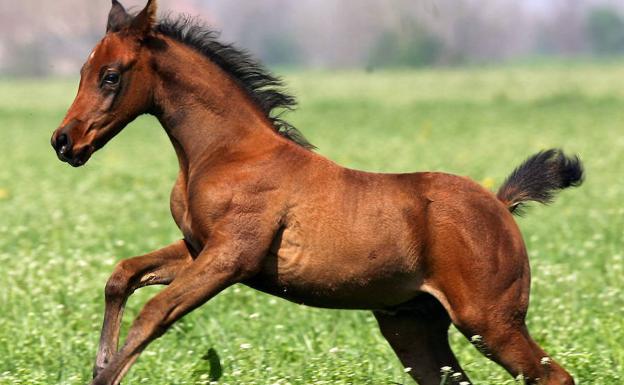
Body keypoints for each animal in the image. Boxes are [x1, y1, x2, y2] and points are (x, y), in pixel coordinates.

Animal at [50, 1, 584, 382]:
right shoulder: (197, 247)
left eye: (111, 76)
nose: (63, 141)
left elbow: (154, 313)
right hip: (412, 327)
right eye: (81, 71)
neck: (228, 152)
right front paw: (99, 362)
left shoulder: (230, 256)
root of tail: (500, 204)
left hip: (490, 322)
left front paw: (105, 373)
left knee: (553, 376)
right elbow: (122, 275)